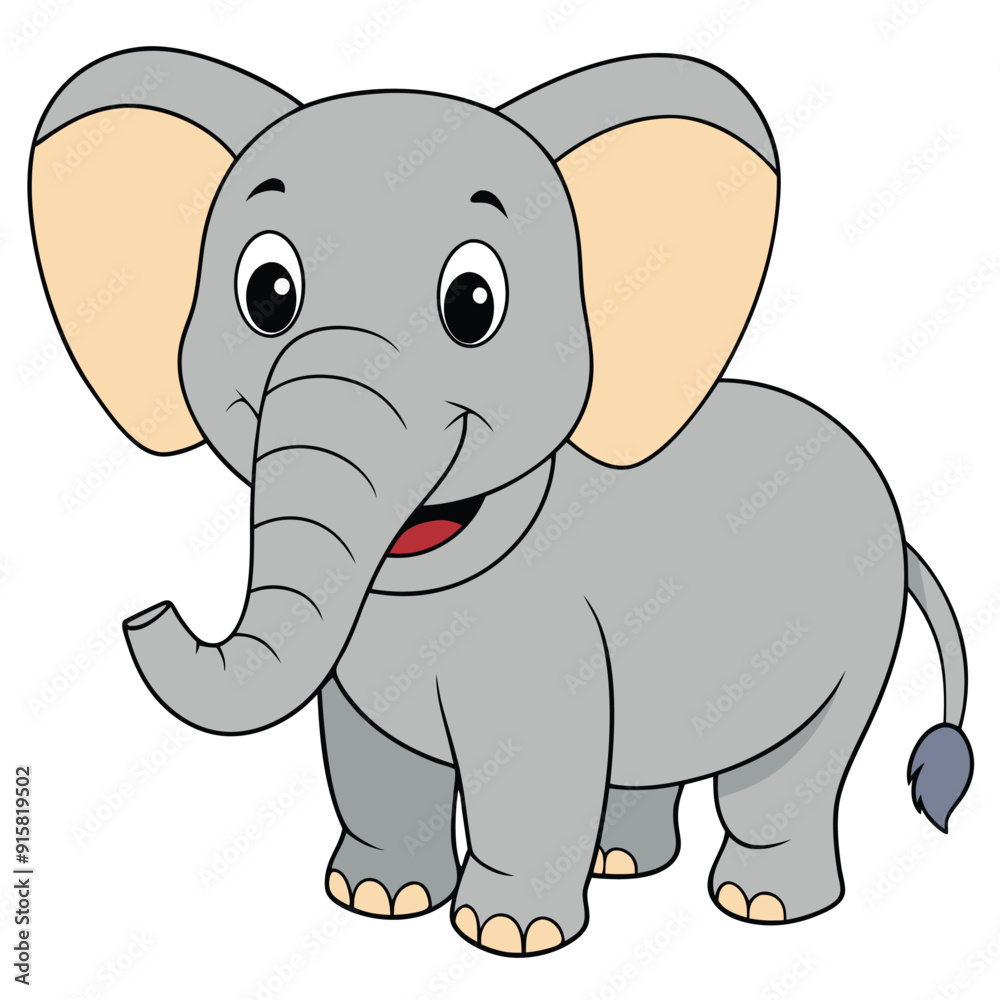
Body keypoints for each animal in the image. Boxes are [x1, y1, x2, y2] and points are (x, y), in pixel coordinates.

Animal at [30, 47, 973, 956]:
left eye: (473, 304)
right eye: (267, 294)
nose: (145, 612)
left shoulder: (543, 637)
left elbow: (532, 765)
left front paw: (508, 937)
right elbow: (371, 755)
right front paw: (377, 900)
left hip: (857, 631)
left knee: (788, 774)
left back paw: (761, 905)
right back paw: (623, 861)